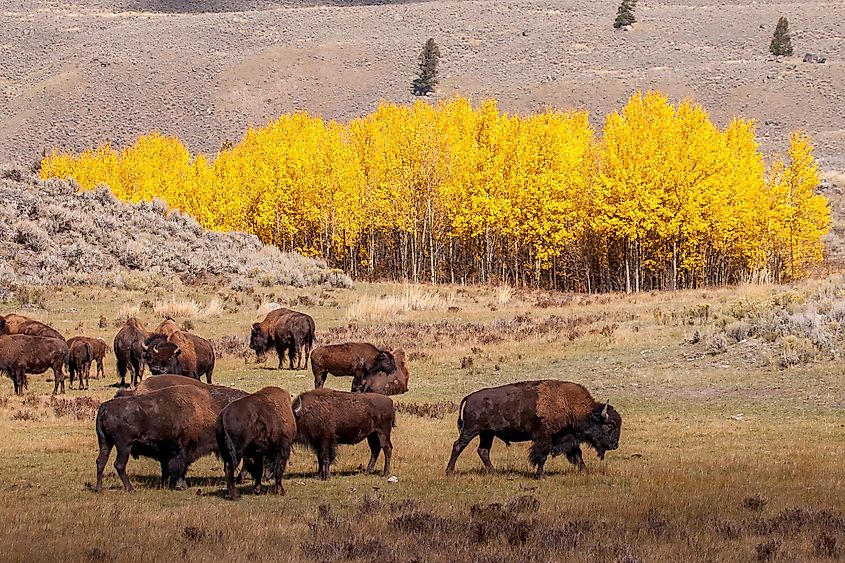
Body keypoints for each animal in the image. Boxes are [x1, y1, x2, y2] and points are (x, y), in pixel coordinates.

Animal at [446, 378, 624, 480]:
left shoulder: (569, 439)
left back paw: (494, 473)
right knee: (458, 446)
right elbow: (541, 456)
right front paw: (540, 476)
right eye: (610, 425)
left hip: (487, 434)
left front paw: (584, 472)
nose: (615, 445)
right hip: (471, 430)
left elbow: (578, 455)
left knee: (483, 451)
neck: (569, 405)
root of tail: (469, 397)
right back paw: (449, 472)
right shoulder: (544, 438)